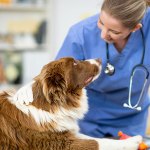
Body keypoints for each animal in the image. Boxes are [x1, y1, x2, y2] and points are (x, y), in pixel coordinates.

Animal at [0, 56, 142, 149]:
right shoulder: (59, 143)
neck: (50, 105)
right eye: (74, 63)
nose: (100, 59)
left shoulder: (66, 132)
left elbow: (95, 138)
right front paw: (133, 141)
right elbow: (97, 143)